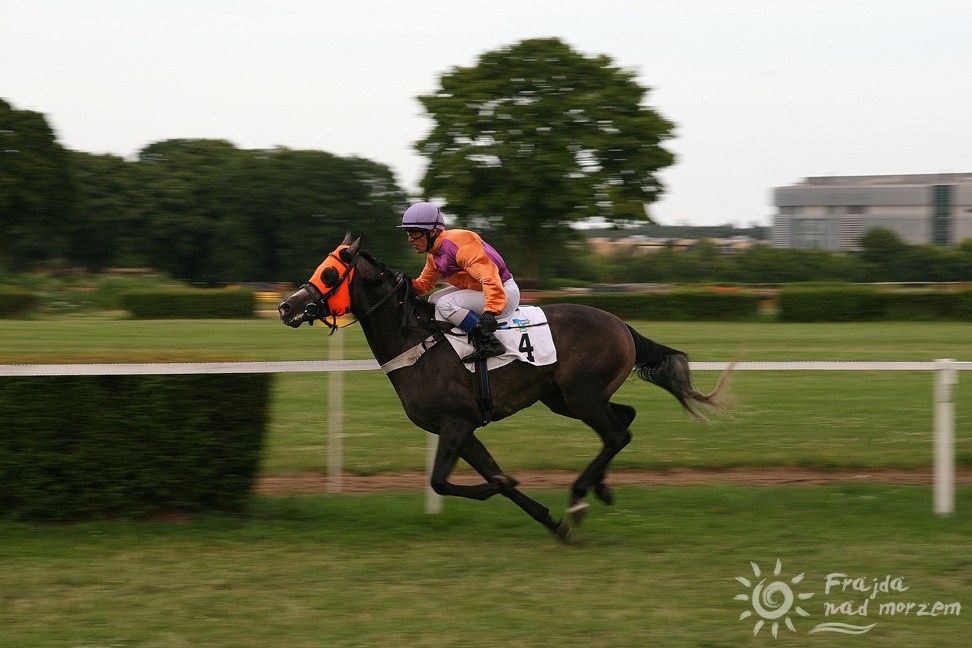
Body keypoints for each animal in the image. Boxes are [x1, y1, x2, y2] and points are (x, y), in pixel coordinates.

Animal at [276, 234, 728, 540]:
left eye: (329, 272)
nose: (286, 306)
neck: (414, 340)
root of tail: (622, 325)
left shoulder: (456, 423)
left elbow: (444, 481)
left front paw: (519, 491)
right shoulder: (459, 428)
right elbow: (484, 476)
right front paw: (549, 520)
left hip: (581, 397)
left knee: (618, 433)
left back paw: (581, 494)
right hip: (565, 398)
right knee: (625, 420)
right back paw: (601, 488)